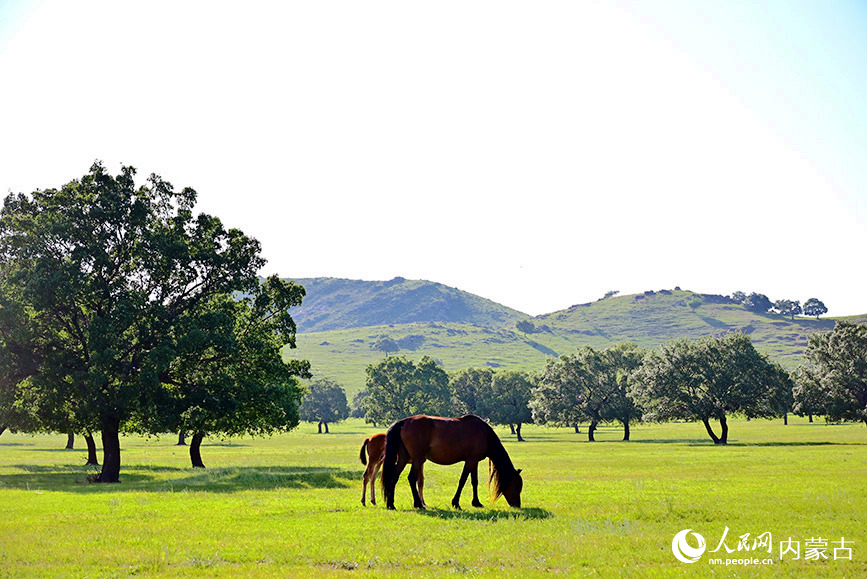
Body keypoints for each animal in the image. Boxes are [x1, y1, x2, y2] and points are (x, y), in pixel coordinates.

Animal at [381, 414, 523, 510]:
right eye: (516, 485)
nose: (517, 505)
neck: (484, 434)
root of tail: (404, 422)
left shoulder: (474, 461)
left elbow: (474, 482)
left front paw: (476, 502)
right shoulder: (470, 460)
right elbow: (463, 481)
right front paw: (456, 503)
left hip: (404, 458)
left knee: (394, 477)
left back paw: (391, 504)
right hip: (417, 459)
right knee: (411, 478)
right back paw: (418, 504)